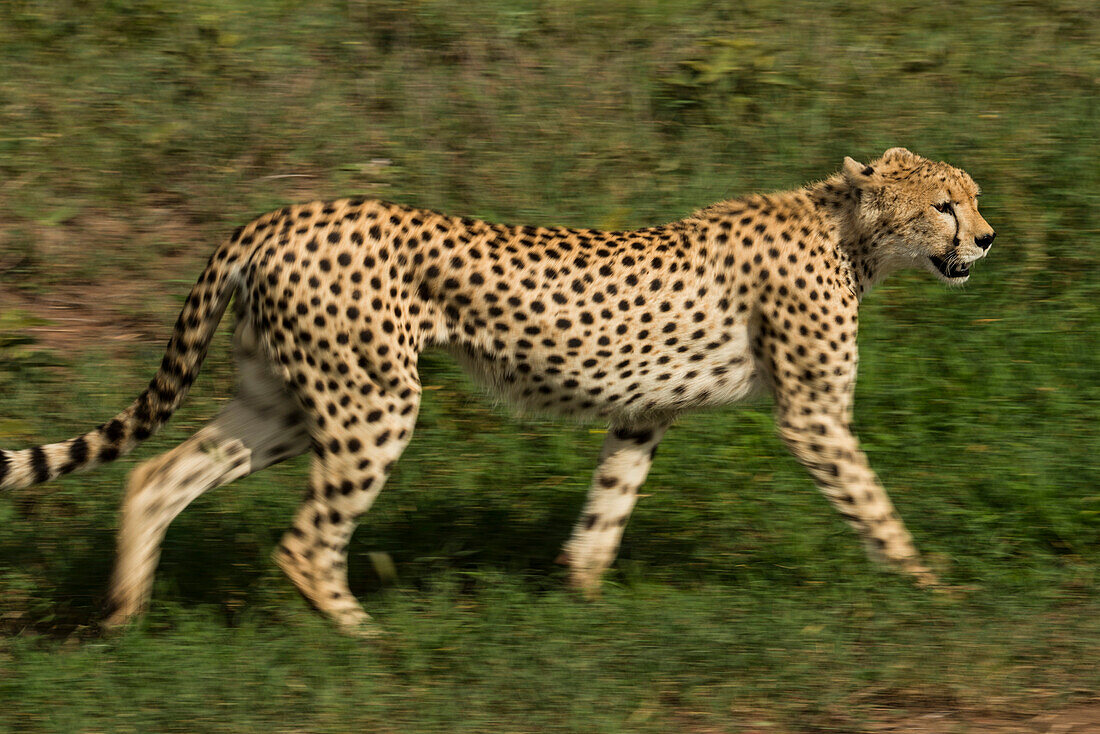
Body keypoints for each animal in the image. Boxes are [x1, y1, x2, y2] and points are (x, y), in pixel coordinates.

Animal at [0, 149, 994, 638]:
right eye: (945, 204)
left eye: (972, 196)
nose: (986, 238)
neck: (850, 233)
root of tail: (282, 212)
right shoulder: (812, 415)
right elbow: (874, 504)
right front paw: (936, 593)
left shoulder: (641, 414)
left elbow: (606, 509)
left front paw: (582, 602)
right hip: (372, 403)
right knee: (304, 541)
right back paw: (367, 639)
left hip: (281, 399)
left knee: (156, 477)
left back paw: (123, 617)